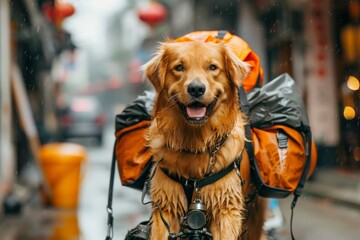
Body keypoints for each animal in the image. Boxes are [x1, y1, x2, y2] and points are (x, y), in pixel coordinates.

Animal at [145, 40, 266, 239]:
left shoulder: (225, 207)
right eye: (179, 67)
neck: (195, 143)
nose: (196, 89)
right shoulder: (166, 206)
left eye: (212, 67)